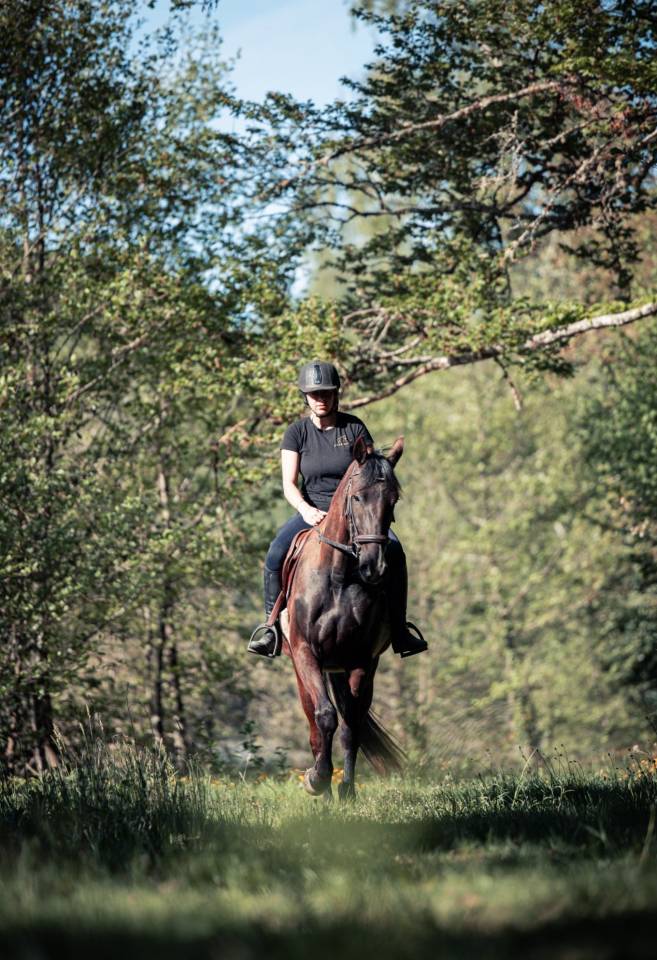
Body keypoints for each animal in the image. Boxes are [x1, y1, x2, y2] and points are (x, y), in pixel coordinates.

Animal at [280, 434, 406, 800]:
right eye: (357, 496)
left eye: (393, 500)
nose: (374, 567)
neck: (338, 576)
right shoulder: (306, 653)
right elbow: (324, 716)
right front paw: (318, 779)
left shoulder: (361, 659)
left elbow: (351, 724)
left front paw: (347, 790)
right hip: (303, 667)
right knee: (314, 720)